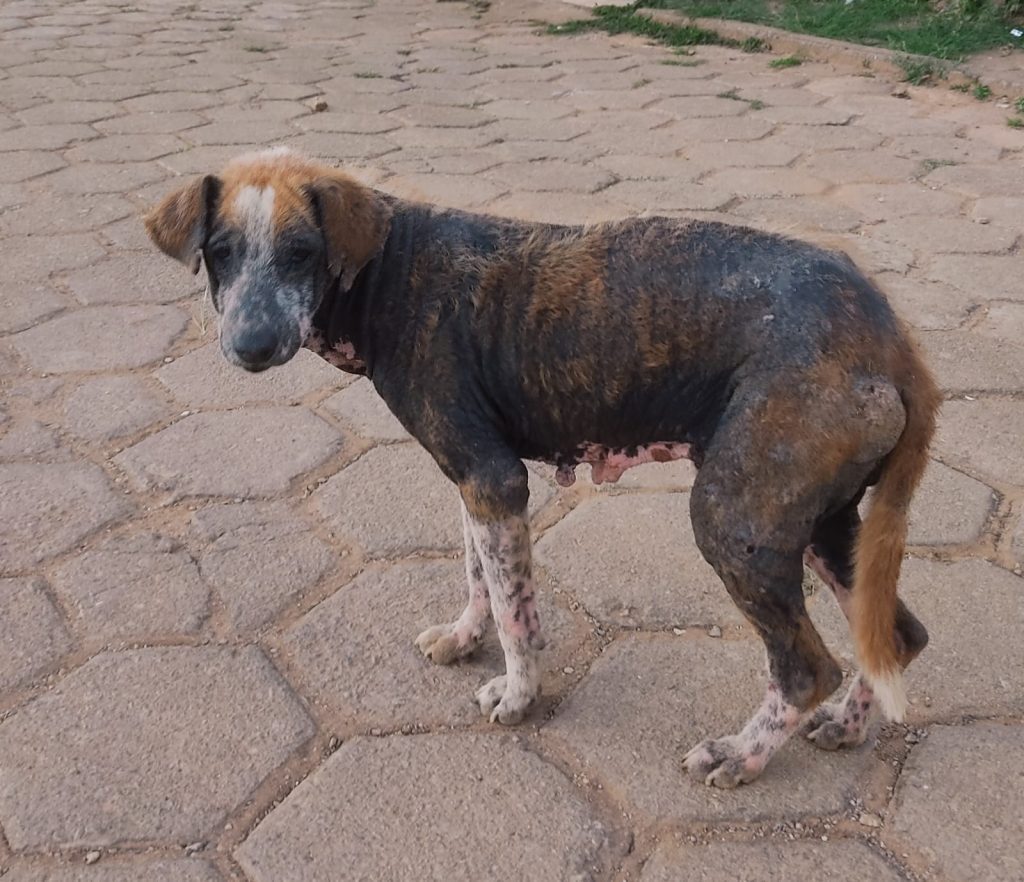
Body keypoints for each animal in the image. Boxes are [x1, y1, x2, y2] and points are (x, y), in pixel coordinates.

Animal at [145, 148, 939, 788]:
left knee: (805, 667)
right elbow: (480, 579)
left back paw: (742, 754)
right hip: (823, 524)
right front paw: (465, 637)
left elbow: (516, 614)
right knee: (896, 633)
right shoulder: (472, 481)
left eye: (301, 253)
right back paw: (850, 725)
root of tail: (893, 335)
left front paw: (518, 695)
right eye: (221, 251)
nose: (250, 344)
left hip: (735, 520)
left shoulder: (495, 481)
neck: (389, 271)